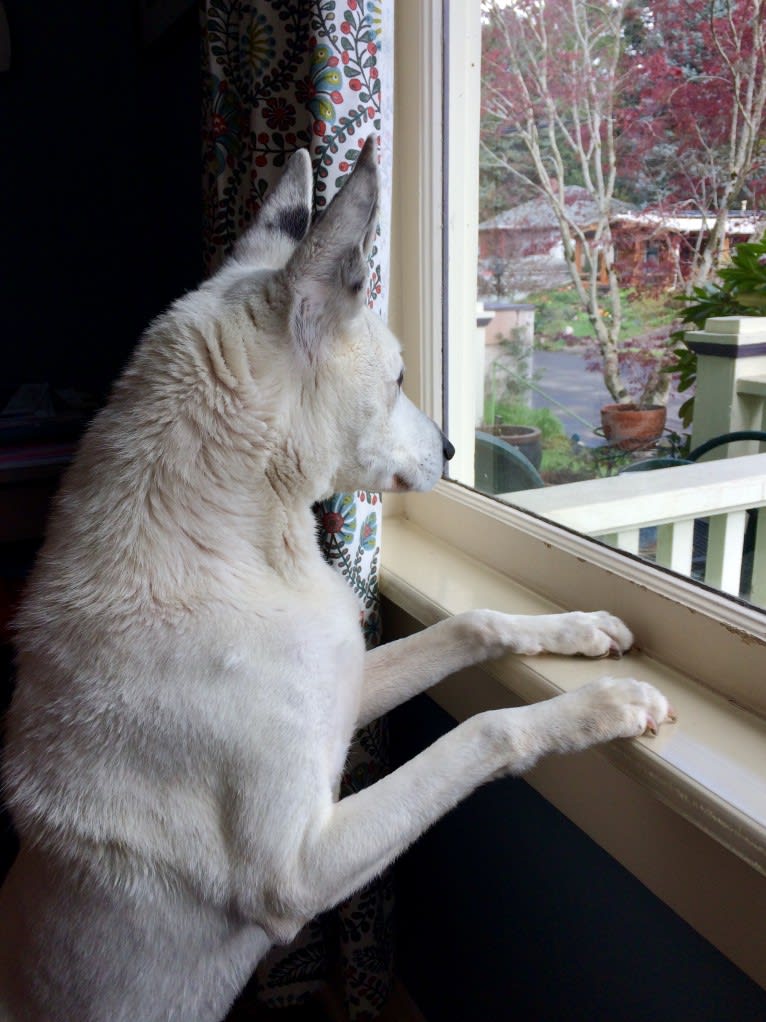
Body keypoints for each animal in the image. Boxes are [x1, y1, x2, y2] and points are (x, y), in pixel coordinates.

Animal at [0, 142, 669, 1021]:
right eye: (400, 378)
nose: (453, 451)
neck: (248, 552)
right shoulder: (299, 872)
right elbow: (486, 732)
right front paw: (607, 706)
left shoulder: (347, 693)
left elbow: (472, 623)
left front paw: (581, 629)